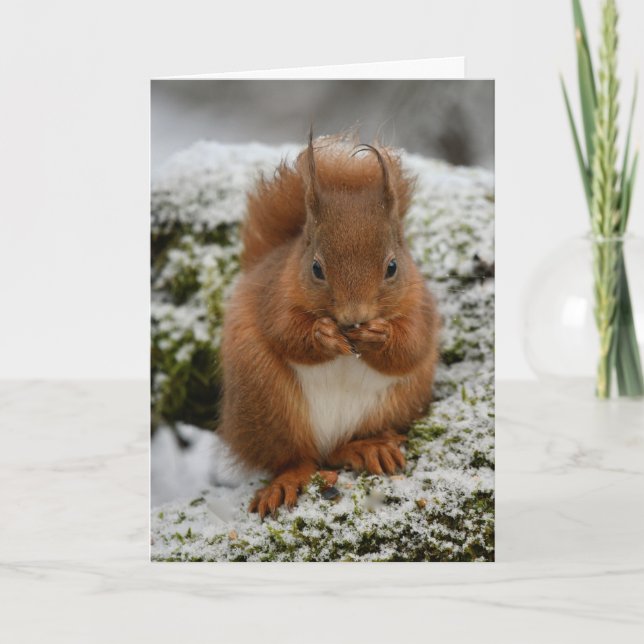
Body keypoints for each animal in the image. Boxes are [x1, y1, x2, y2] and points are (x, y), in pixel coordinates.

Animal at [219, 131, 440, 518]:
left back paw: (367, 447)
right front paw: (323, 335)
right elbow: (285, 331)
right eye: (316, 269)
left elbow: (412, 345)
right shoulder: (274, 294)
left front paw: (380, 335)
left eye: (393, 267)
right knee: (297, 458)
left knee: (337, 451)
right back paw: (286, 481)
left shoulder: (420, 306)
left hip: (396, 402)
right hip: (266, 402)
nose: (354, 318)